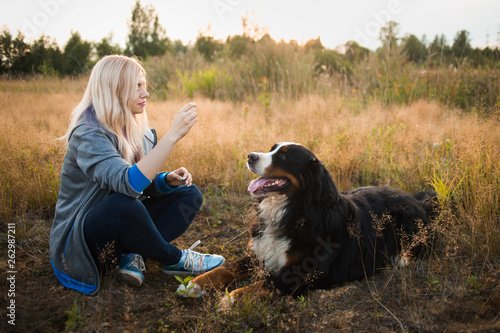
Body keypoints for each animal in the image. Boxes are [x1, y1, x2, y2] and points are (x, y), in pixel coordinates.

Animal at [177, 143, 438, 306]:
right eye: (270, 149)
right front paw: (195, 284)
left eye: (283, 156)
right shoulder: (260, 252)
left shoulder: (306, 270)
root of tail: (414, 198)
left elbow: (268, 282)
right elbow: (226, 268)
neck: (293, 211)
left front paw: (234, 298)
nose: (250, 156)